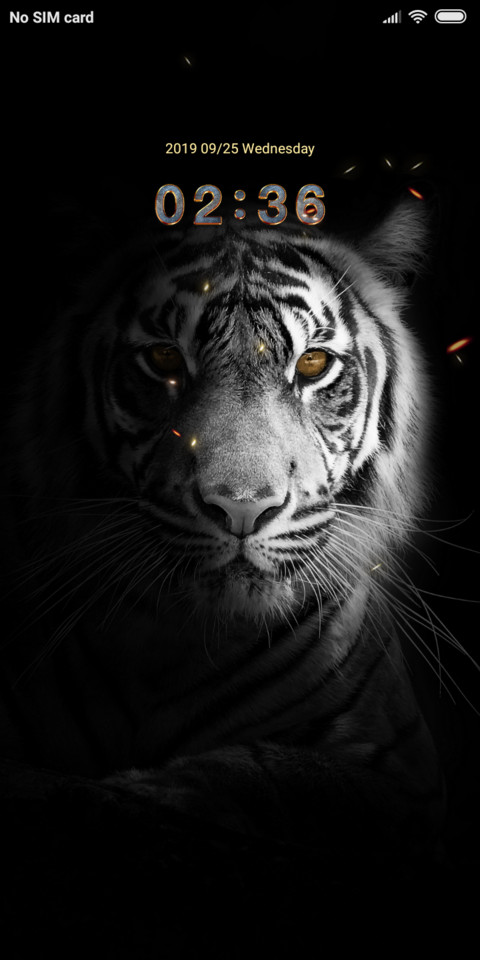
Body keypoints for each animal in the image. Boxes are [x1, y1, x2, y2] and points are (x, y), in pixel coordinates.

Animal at [0, 197, 450, 868]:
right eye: (163, 359)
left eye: (312, 364)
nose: (241, 509)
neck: (178, 643)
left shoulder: (407, 781)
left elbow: (267, 773)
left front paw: (134, 793)